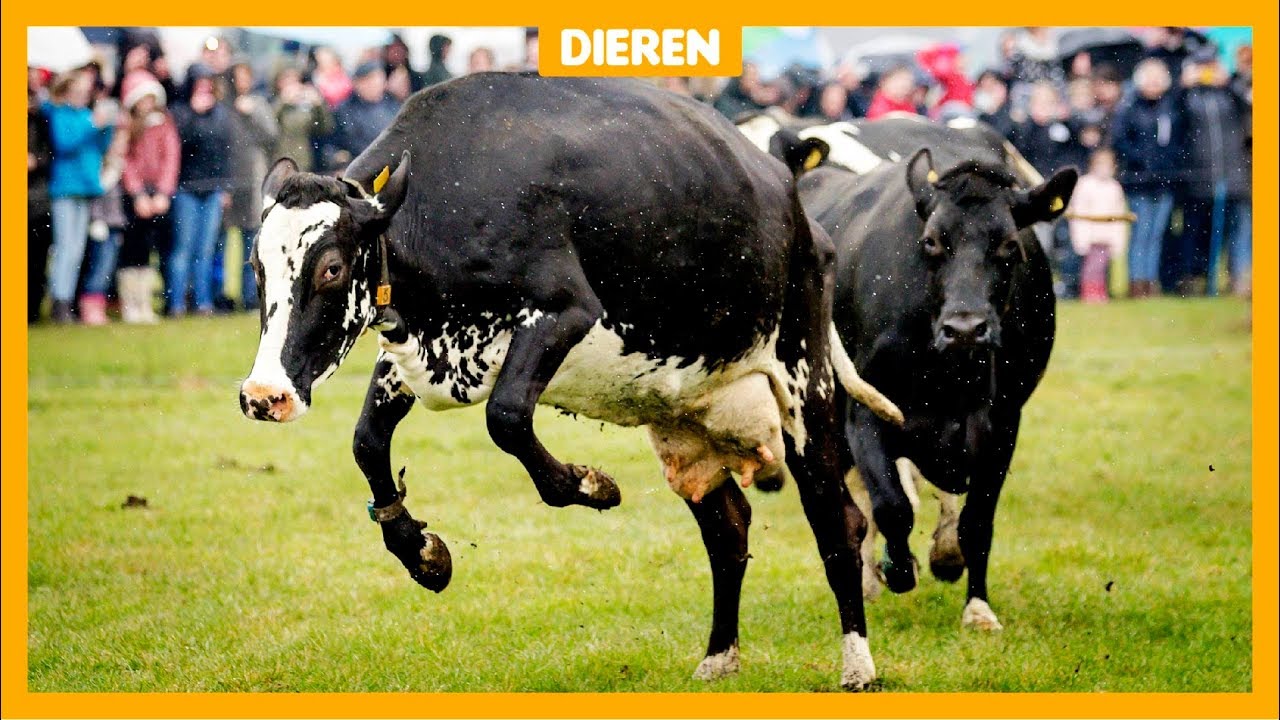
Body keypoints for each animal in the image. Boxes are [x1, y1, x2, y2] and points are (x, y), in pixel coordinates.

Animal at [237, 73, 904, 690]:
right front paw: (421, 552)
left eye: (330, 268)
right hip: (686, 412)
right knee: (728, 527)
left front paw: (589, 484)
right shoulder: (411, 355)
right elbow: (368, 443)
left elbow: (506, 417)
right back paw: (719, 656)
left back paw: (858, 665)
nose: (264, 395)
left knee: (837, 519)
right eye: (257, 267)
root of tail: (798, 208)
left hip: (803, 376)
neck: (446, 200)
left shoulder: (563, 313)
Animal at [796, 143, 1076, 631]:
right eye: (931, 241)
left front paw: (977, 607)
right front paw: (897, 569)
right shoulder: (865, 411)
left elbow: (977, 520)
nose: (965, 329)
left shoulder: (1003, 422)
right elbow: (891, 505)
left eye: (1009, 244)